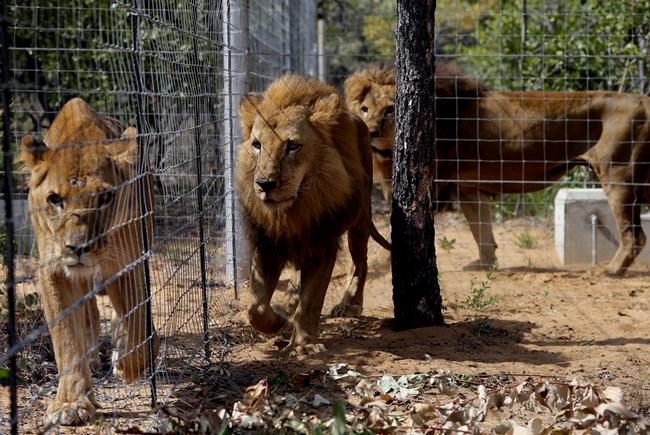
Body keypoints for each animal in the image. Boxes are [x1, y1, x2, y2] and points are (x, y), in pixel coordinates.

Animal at [19, 98, 158, 426]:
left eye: (104, 198)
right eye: (55, 199)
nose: (77, 247)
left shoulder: (128, 260)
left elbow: (138, 316)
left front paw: (129, 362)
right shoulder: (53, 270)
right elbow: (67, 338)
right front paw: (71, 402)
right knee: (88, 312)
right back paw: (94, 356)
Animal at [235, 74, 391, 355]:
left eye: (293, 146)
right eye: (257, 145)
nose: (264, 183)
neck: (294, 212)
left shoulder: (322, 243)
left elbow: (311, 301)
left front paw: (303, 345)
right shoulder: (267, 244)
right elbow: (256, 306)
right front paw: (278, 320)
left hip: (360, 219)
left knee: (360, 262)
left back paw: (349, 304)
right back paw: (288, 302)